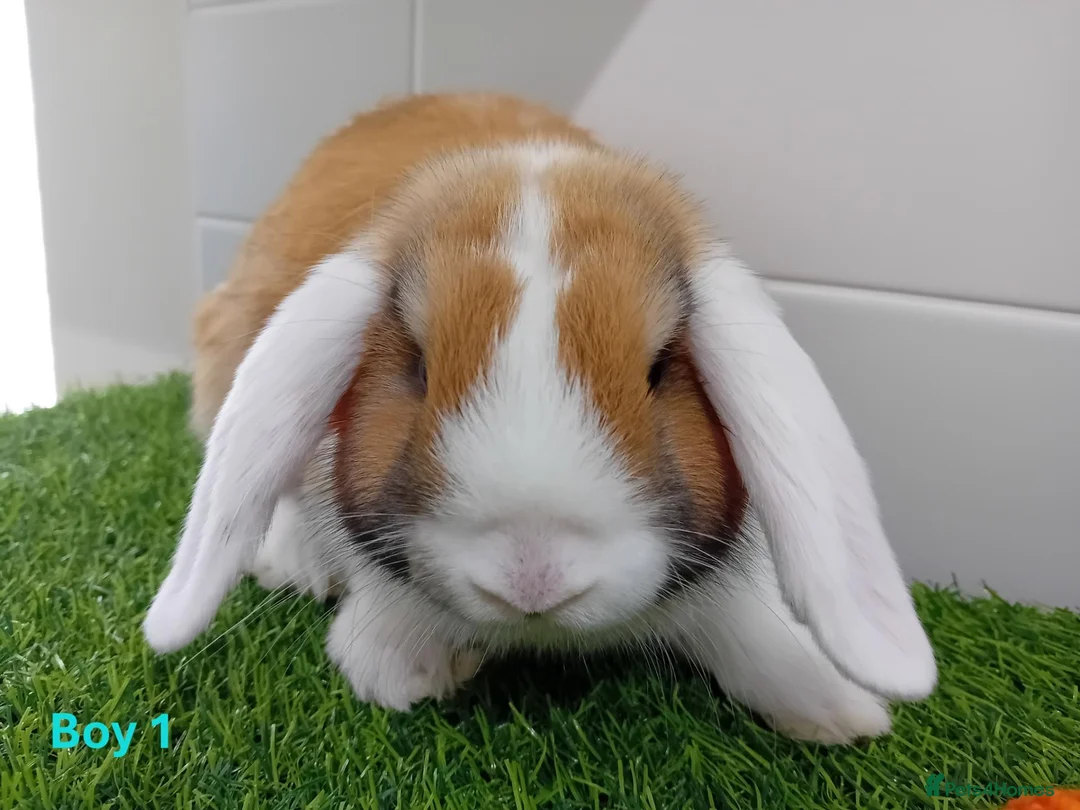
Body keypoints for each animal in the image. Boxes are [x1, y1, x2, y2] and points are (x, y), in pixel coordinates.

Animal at [144, 93, 936, 744]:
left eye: (659, 369)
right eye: (419, 367)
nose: (533, 579)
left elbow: (748, 631)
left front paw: (839, 711)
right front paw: (406, 670)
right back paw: (297, 565)